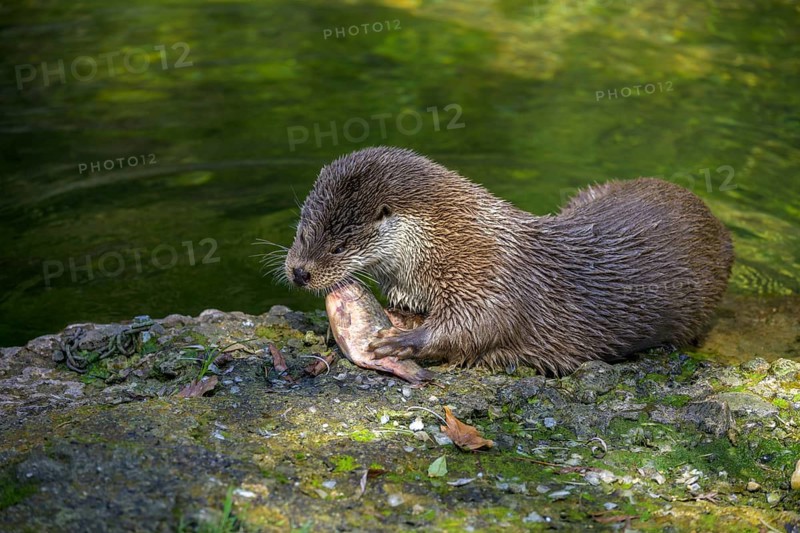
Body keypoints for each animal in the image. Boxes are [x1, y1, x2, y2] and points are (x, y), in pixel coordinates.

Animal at [284, 146, 734, 376]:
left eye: (338, 248)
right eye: (303, 230)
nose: (300, 272)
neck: (449, 242)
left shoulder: (492, 277)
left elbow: (479, 324)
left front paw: (401, 340)